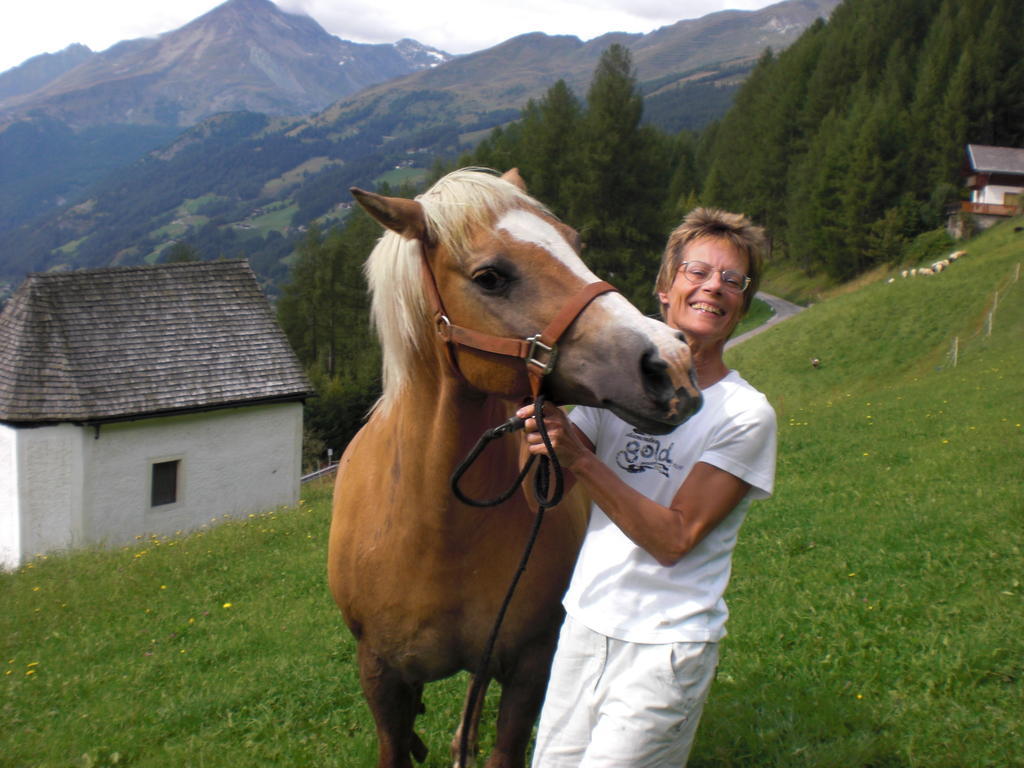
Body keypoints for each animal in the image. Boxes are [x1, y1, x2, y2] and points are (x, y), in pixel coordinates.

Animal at [327, 169, 704, 768]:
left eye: (575, 243)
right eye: (490, 277)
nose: (671, 362)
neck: (436, 531)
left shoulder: (529, 665)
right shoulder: (381, 678)